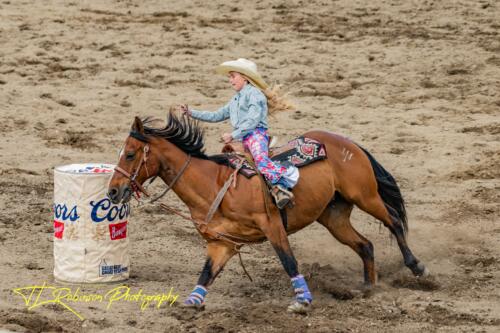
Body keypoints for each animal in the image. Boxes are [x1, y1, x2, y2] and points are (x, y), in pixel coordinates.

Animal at [108, 113, 426, 312]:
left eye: (131, 154)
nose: (112, 192)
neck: (215, 184)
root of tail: (348, 142)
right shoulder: (221, 243)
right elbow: (206, 274)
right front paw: (191, 303)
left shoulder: (273, 225)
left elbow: (289, 262)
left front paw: (302, 301)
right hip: (333, 217)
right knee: (365, 245)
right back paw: (369, 287)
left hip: (365, 196)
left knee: (394, 221)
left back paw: (416, 266)